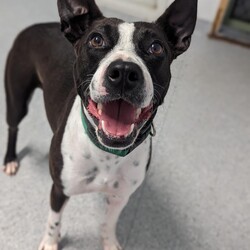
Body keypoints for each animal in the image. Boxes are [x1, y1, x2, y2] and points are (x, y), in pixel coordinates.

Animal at [1, 0, 197, 249]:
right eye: (96, 40)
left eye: (156, 47)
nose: (124, 71)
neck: (107, 153)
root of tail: (36, 25)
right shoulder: (59, 189)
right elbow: (54, 220)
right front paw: (51, 242)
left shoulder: (120, 197)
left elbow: (109, 223)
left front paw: (109, 241)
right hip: (17, 99)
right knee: (13, 127)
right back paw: (10, 159)